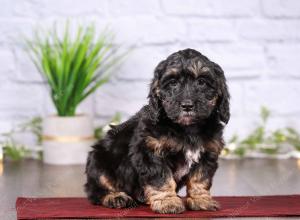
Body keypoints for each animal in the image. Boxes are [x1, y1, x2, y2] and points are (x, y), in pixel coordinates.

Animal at [84, 48, 230, 213]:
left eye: (202, 82)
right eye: (172, 83)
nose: (187, 105)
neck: (187, 128)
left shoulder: (207, 153)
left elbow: (200, 178)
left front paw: (201, 199)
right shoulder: (151, 151)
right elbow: (161, 178)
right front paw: (168, 202)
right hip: (98, 162)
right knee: (97, 189)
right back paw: (116, 197)